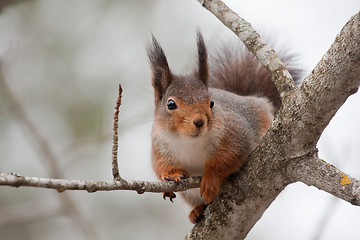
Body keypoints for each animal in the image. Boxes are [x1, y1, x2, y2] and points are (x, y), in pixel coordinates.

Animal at [146, 31, 300, 223]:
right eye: (171, 104)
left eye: (211, 103)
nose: (199, 121)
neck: (189, 142)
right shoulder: (159, 146)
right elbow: (159, 166)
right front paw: (170, 175)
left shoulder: (236, 134)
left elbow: (229, 158)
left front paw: (211, 179)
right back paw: (198, 210)